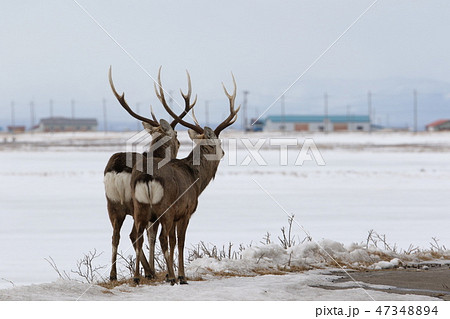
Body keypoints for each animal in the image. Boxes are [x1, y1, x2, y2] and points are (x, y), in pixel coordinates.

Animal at [106, 66, 198, 282]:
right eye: (177, 137)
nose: (178, 144)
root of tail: (117, 169)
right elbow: (153, 236)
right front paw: (158, 271)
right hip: (136, 205)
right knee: (135, 235)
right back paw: (147, 272)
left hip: (112, 204)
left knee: (115, 235)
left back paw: (113, 275)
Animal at [130, 72, 239, 284]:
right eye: (219, 142)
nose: (223, 153)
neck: (196, 180)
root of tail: (146, 176)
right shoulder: (186, 210)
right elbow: (179, 242)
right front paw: (180, 275)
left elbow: (173, 242)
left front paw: (169, 273)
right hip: (165, 207)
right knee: (161, 238)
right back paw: (173, 278)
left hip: (139, 207)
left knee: (138, 236)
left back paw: (138, 277)